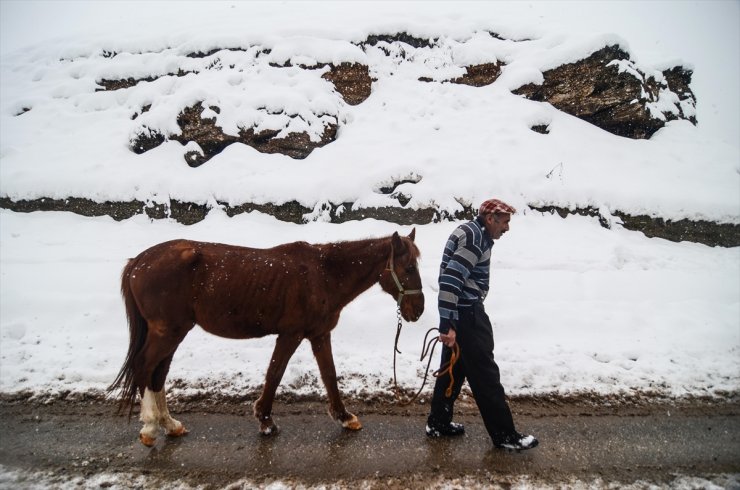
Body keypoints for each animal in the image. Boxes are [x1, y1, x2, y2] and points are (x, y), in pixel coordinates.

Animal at [107, 228, 424, 446]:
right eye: (409, 267)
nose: (418, 310)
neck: (324, 275)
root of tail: (138, 262)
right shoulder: (290, 335)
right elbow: (275, 373)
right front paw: (266, 421)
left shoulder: (319, 335)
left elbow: (330, 375)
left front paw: (345, 418)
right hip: (167, 333)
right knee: (144, 367)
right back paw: (150, 427)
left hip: (173, 334)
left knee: (157, 375)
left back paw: (170, 425)